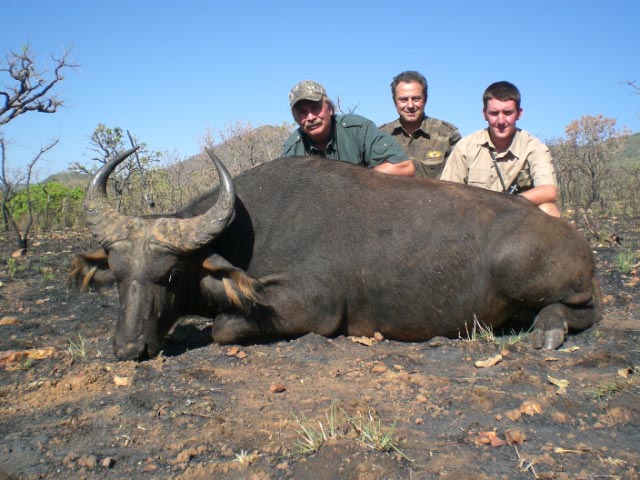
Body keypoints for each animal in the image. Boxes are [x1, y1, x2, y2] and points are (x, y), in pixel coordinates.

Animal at [70, 148, 600, 358]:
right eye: (119, 276)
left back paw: (547, 329)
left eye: (171, 276)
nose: (128, 349)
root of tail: (574, 238)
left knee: (584, 310)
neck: (249, 227)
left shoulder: (312, 309)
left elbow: (222, 327)